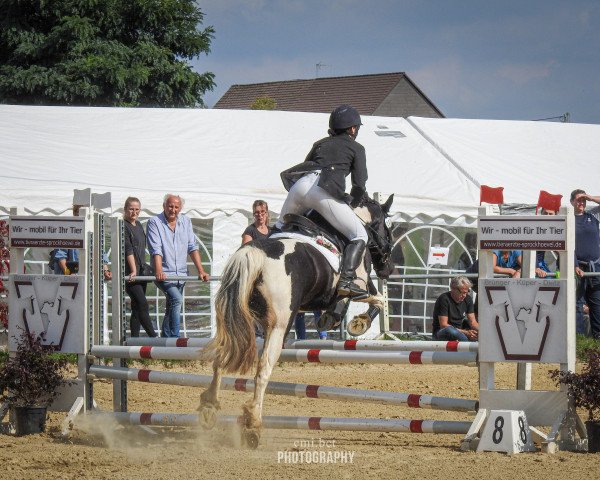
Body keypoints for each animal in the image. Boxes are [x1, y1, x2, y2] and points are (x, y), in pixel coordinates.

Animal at [200, 194, 394, 446]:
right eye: (387, 227)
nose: (388, 270)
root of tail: (255, 255)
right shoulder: (358, 284)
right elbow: (376, 299)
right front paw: (358, 323)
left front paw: (334, 319)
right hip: (279, 325)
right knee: (263, 368)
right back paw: (253, 425)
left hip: (239, 318)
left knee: (223, 356)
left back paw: (209, 408)